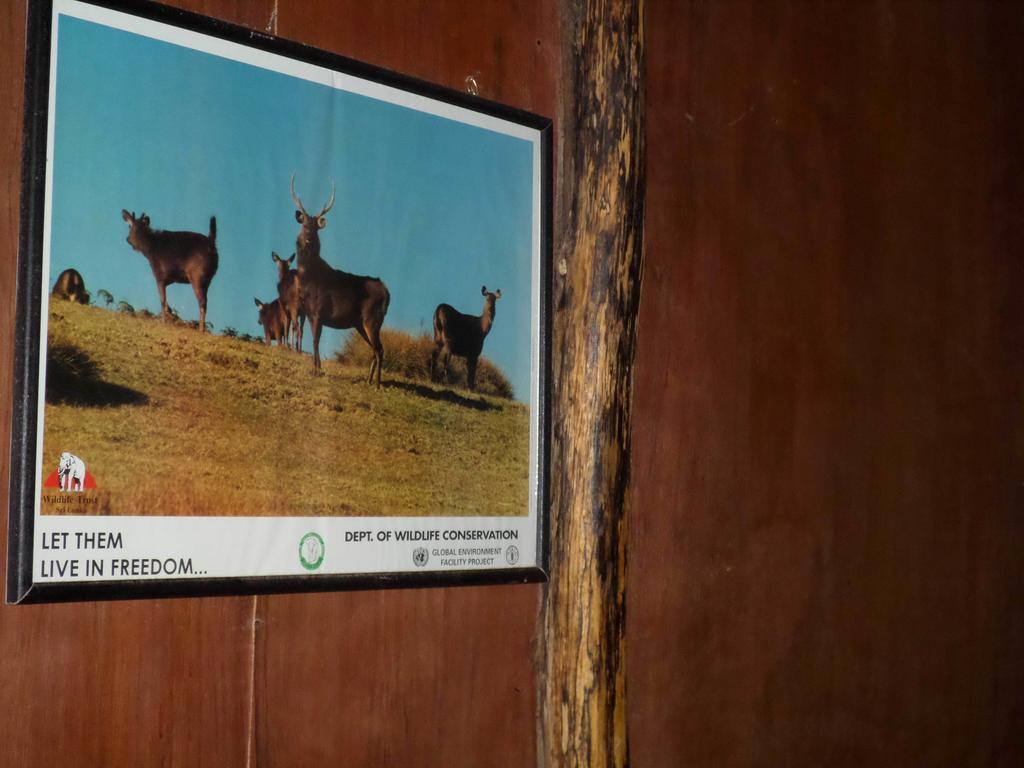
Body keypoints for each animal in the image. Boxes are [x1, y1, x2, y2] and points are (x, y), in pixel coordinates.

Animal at [292, 177, 395, 387]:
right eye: (304, 225)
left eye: (316, 228)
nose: (308, 240)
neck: (308, 278)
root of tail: (387, 292)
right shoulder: (308, 312)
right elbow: (311, 339)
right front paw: (317, 368)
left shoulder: (318, 310)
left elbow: (315, 341)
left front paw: (316, 370)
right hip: (360, 323)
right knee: (375, 349)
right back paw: (368, 380)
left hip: (372, 318)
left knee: (380, 349)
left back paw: (377, 384)